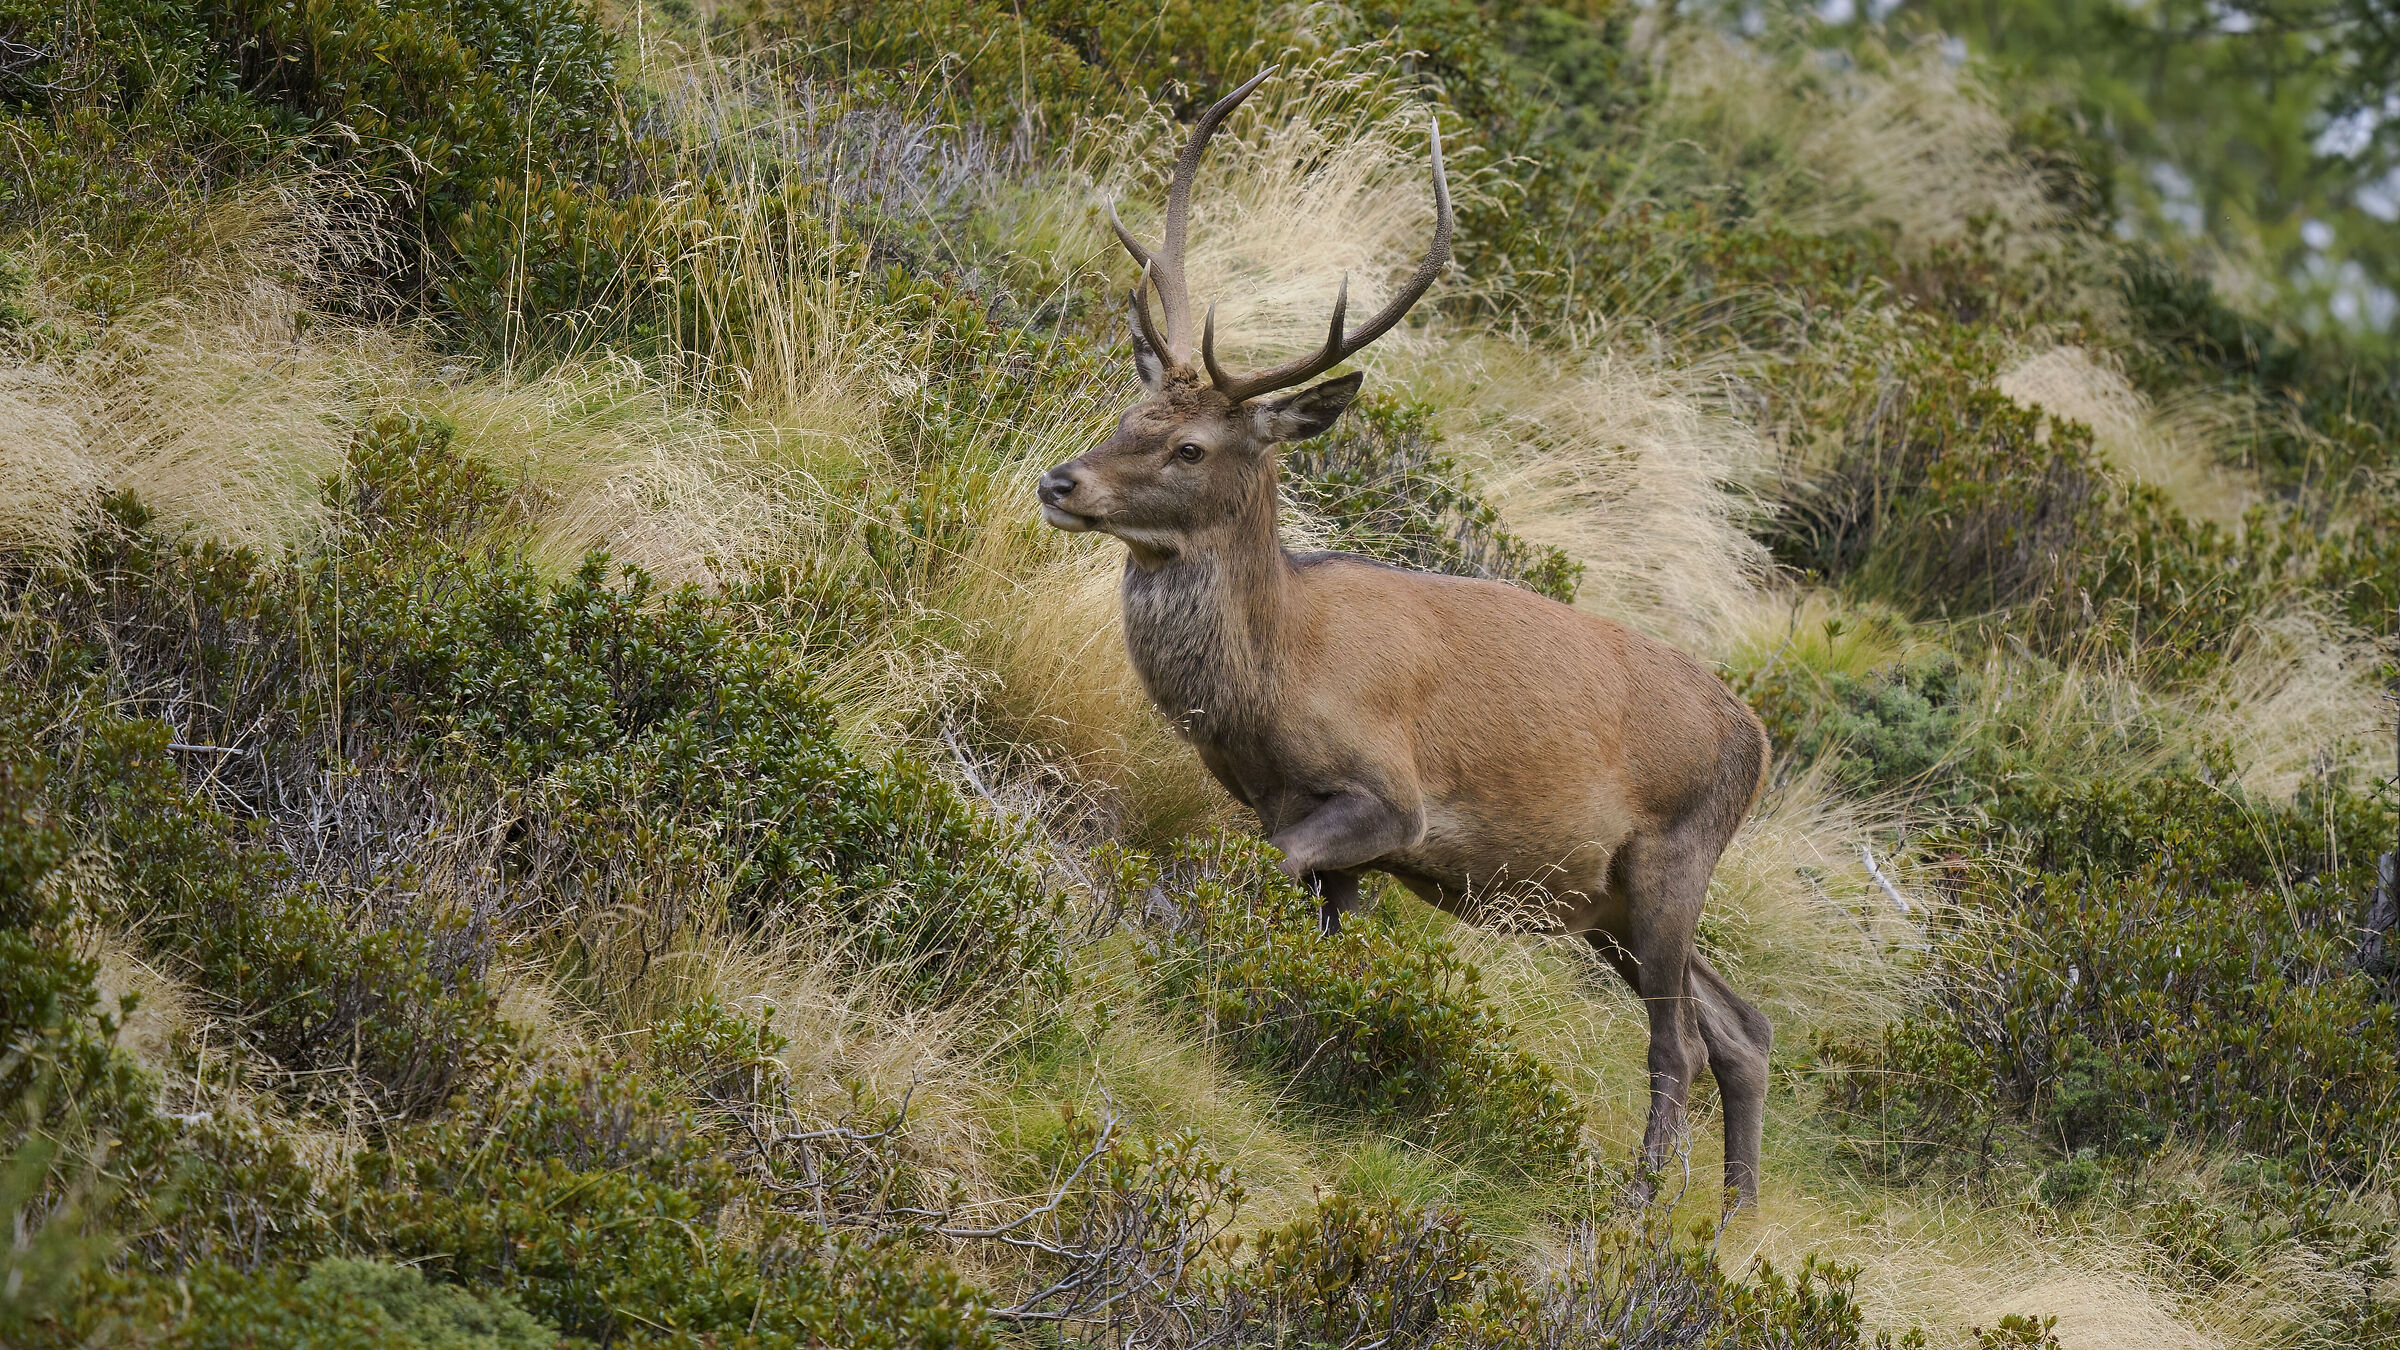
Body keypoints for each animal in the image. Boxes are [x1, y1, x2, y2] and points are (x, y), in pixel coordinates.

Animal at [1036, 70, 1777, 1209]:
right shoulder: (1292, 811)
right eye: (1130, 412)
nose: (1060, 482)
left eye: (1191, 446)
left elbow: (1226, 882)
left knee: (1681, 1043)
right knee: (1743, 1025)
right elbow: (1309, 934)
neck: (1271, 682)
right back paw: (1731, 1217)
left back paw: (1643, 1205)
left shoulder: (1389, 799)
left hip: (1673, 857)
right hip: (1607, 900)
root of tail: (1763, 740)